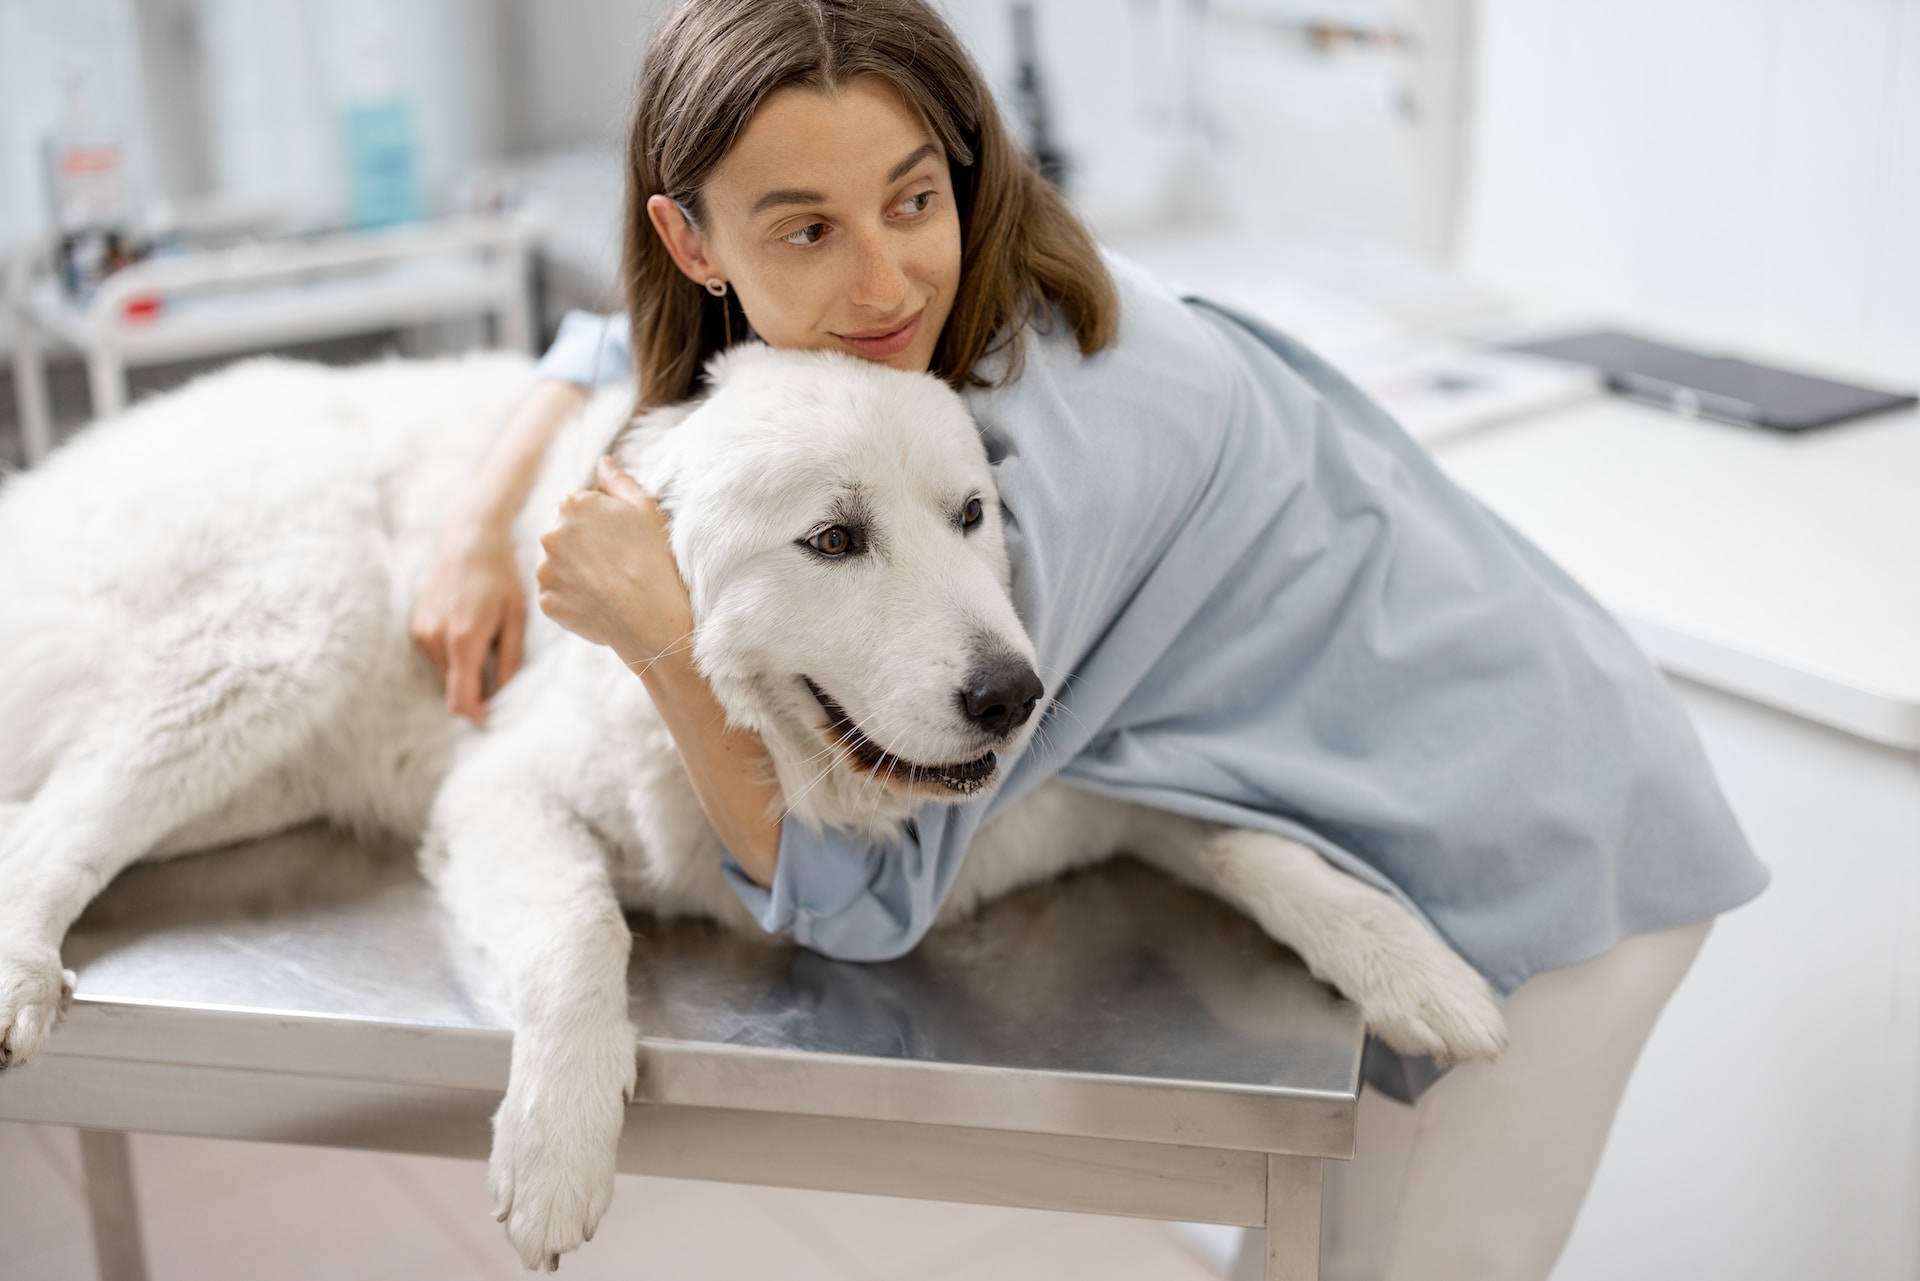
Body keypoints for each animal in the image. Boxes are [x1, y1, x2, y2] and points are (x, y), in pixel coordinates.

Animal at [0, 347, 1497, 1275]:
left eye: (971, 516)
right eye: (834, 539)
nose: (1013, 693)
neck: (813, 784)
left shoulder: (1080, 798)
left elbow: (1256, 845)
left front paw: (1416, 968)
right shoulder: (504, 791)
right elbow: (580, 938)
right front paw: (558, 1143)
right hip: (276, 640)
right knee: (49, 832)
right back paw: (19, 974)